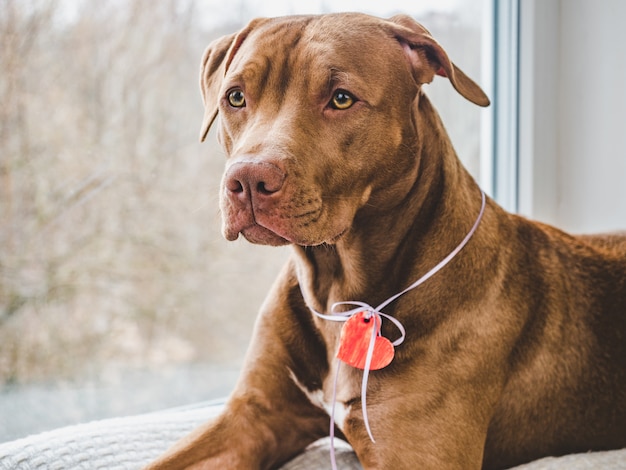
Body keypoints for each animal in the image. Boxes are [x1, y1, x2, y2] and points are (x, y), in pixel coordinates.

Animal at [147, 11, 624, 470]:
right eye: (235, 97)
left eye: (341, 98)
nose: (247, 180)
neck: (337, 290)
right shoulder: (252, 419)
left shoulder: (414, 453)